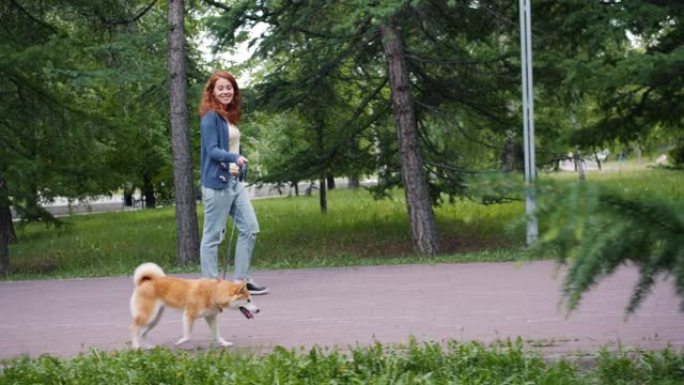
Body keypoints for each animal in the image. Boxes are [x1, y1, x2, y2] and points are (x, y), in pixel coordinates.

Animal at [127, 260, 256, 348]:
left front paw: (224, 343)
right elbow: (187, 336)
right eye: (248, 300)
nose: (258, 310)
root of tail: (145, 281)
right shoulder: (188, 316)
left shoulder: (211, 317)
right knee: (133, 328)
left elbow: (217, 334)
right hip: (148, 316)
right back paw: (136, 347)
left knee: (143, 332)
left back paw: (148, 347)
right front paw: (180, 342)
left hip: (155, 319)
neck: (213, 293)